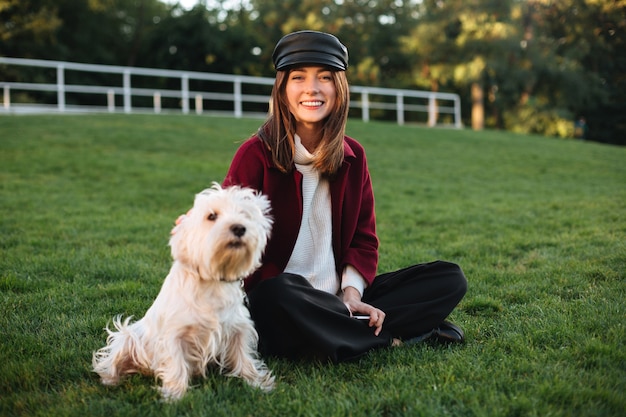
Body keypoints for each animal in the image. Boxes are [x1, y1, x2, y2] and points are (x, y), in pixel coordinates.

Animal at [92, 184, 272, 400]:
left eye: (245, 214)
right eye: (212, 216)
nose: (239, 228)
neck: (213, 282)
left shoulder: (238, 329)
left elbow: (244, 356)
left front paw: (257, 383)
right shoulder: (174, 335)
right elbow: (176, 363)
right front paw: (174, 395)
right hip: (128, 336)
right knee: (113, 358)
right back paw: (110, 379)